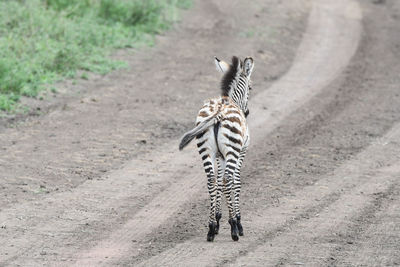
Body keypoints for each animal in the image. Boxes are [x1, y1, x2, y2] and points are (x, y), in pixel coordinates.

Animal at [178, 56, 253, 243]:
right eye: (250, 87)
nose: (247, 112)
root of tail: (218, 111)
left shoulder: (220, 156)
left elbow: (218, 182)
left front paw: (217, 221)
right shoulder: (241, 152)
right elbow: (235, 182)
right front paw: (237, 222)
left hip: (206, 150)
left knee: (212, 180)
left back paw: (211, 229)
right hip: (232, 150)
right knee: (227, 179)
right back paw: (234, 229)